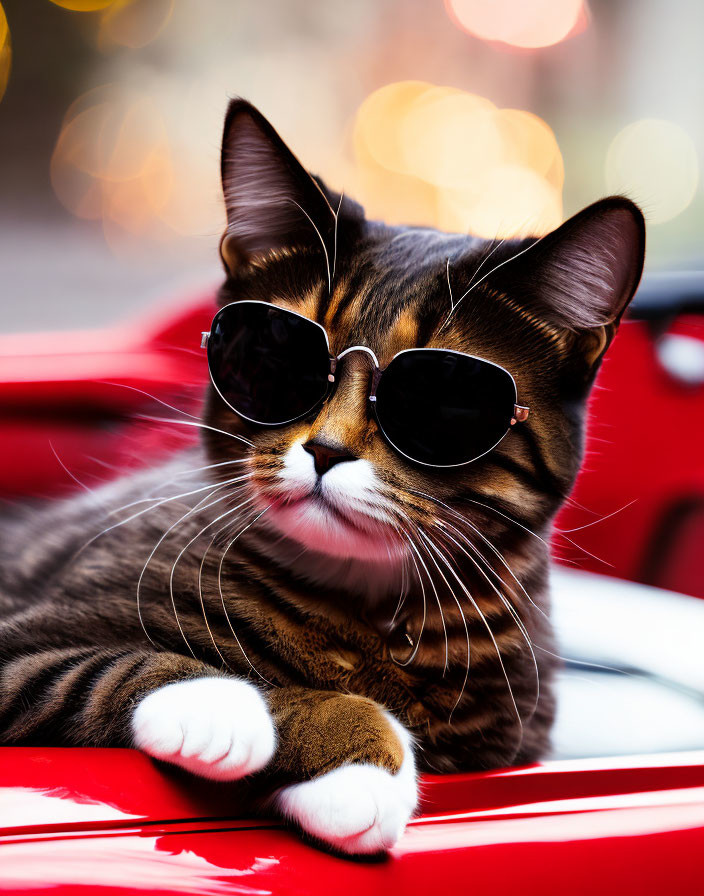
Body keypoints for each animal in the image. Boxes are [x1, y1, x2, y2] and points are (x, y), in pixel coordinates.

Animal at [0, 96, 644, 856]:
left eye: (445, 398)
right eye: (273, 355)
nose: (327, 449)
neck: (362, 609)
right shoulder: (22, 638)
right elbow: (116, 663)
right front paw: (264, 717)